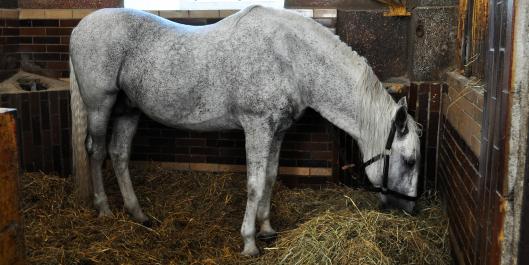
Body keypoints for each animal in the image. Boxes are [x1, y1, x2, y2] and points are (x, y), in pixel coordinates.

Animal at [68, 5, 418, 255]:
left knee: (119, 155)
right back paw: (104, 210)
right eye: (410, 160)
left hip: (128, 110)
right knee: (97, 152)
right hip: (100, 106)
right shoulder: (257, 127)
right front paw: (249, 242)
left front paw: (266, 229)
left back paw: (138, 214)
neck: (290, 56)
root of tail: (79, 28)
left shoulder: (277, 130)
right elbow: (254, 183)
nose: (409, 209)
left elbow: (270, 178)